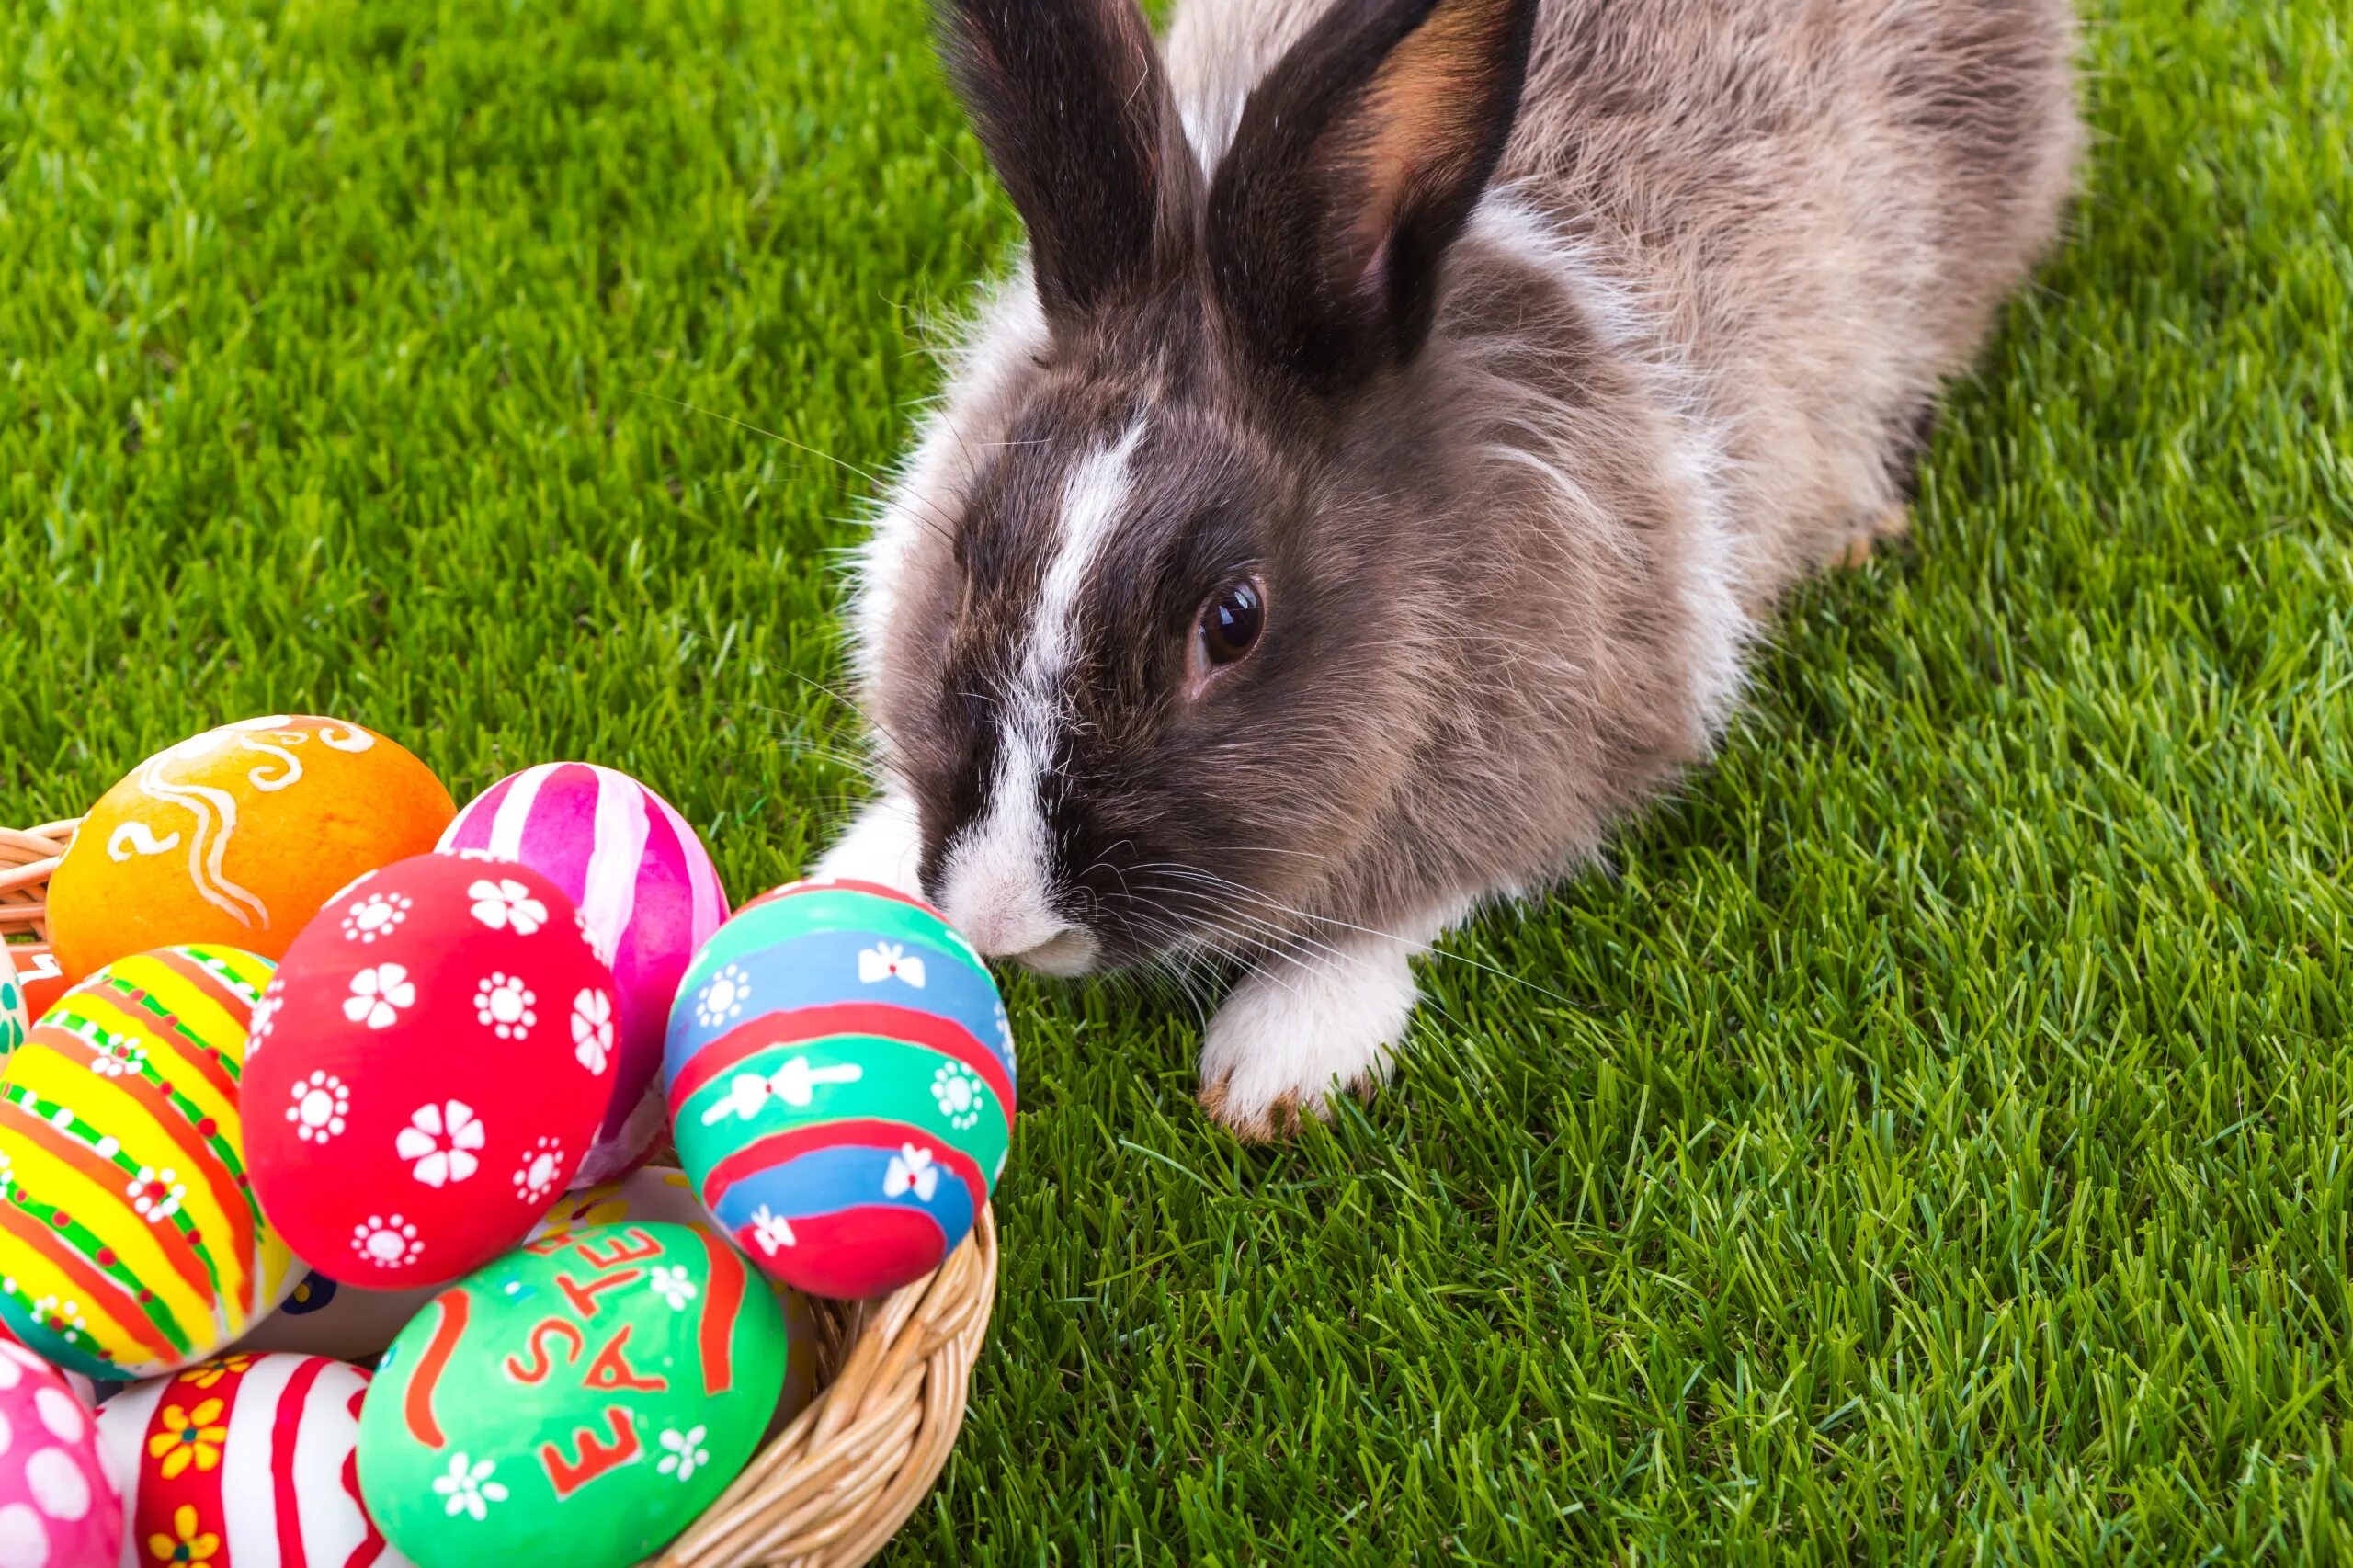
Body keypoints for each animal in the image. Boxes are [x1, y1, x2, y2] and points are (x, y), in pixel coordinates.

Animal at [824, 0, 2080, 1130]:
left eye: (1232, 621)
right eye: (970, 540)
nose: (1000, 919)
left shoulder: (1589, 728)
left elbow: (1425, 891)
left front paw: (1283, 1057)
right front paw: (857, 871)